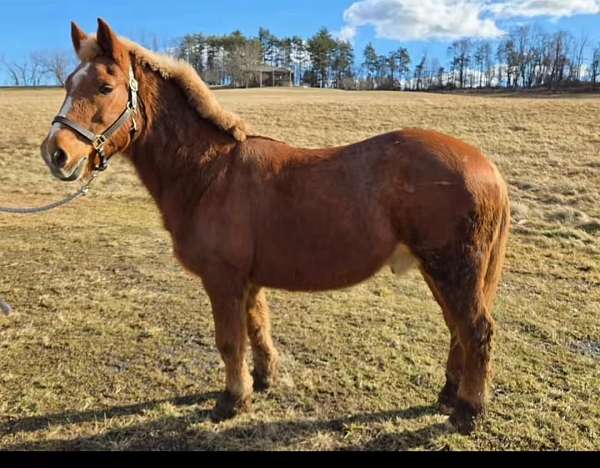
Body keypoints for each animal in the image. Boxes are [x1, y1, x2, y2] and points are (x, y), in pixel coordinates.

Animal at [41, 18, 510, 436]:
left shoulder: (223, 279)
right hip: (440, 271)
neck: (210, 172)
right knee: (457, 328)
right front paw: (263, 379)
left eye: (104, 87)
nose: (56, 153)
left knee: (476, 331)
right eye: (67, 84)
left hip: (455, 270)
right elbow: (257, 327)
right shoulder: (247, 281)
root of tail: (486, 166)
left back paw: (468, 412)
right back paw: (449, 395)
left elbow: (230, 341)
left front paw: (232, 401)